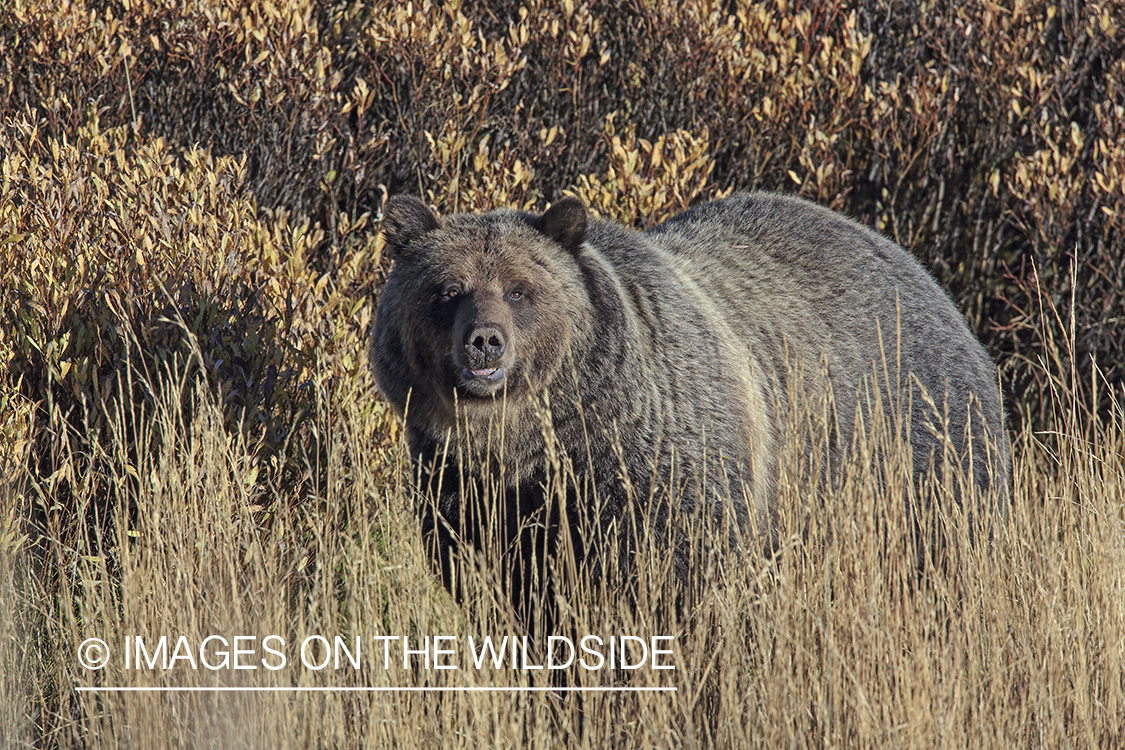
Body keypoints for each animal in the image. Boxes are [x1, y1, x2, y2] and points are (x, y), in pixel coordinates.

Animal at [371, 192, 1012, 620]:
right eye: (448, 290)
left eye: (519, 290)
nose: (485, 341)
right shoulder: (465, 487)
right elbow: (497, 586)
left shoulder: (657, 470)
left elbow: (675, 580)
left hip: (915, 456)